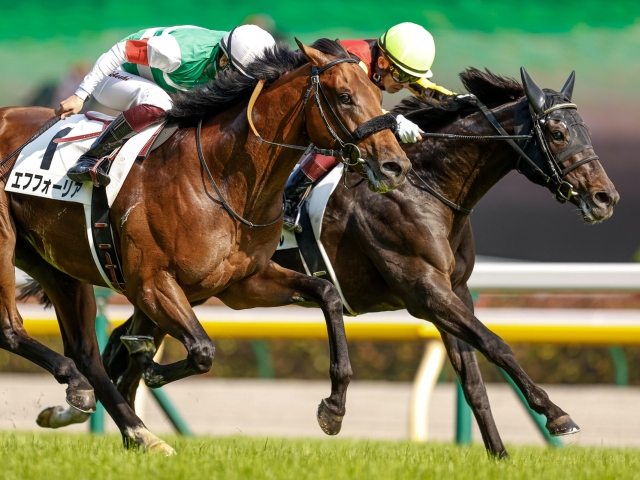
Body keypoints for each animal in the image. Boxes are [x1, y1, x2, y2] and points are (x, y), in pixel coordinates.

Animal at [0, 39, 410, 452]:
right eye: (344, 97)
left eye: (378, 95)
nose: (396, 166)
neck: (222, 179)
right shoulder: (151, 283)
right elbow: (201, 351)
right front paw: (144, 359)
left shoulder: (241, 283)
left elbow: (326, 293)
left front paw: (334, 407)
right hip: (6, 243)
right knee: (11, 330)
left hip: (56, 265)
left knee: (85, 352)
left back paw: (136, 430)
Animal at [102, 68, 616, 458]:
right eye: (556, 133)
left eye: (588, 131)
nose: (605, 197)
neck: (427, 187)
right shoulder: (423, 291)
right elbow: (497, 344)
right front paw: (557, 414)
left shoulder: (454, 291)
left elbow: (473, 380)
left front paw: (500, 454)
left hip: (177, 288)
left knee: (122, 350)